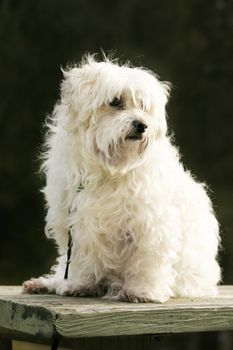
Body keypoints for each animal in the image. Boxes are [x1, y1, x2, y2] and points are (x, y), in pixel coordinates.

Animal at [22, 53, 221, 302]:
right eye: (116, 102)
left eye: (143, 106)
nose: (142, 125)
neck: (111, 168)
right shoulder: (77, 221)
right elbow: (81, 258)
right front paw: (79, 284)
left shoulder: (150, 222)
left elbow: (147, 260)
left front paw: (143, 290)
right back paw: (45, 283)